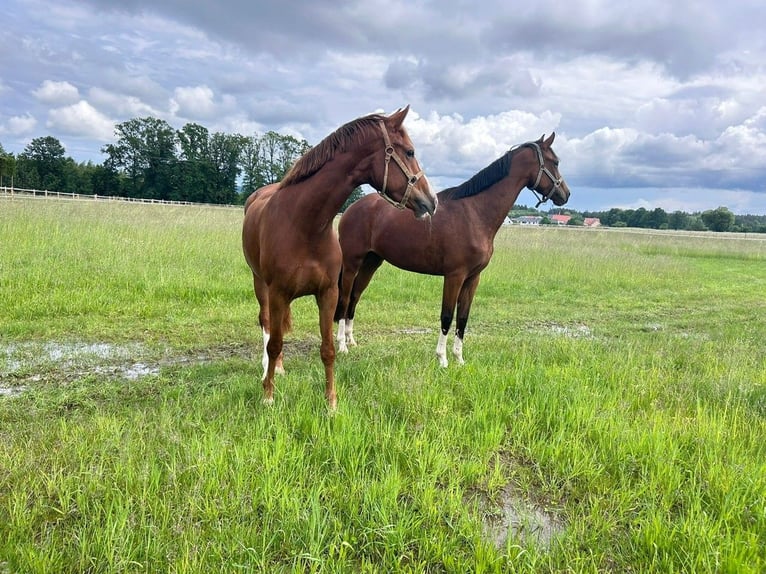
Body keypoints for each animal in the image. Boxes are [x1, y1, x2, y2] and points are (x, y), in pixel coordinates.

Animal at [242, 106, 437, 409]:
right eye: (409, 152)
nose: (432, 201)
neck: (304, 224)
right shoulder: (278, 292)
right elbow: (274, 343)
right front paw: (268, 396)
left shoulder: (328, 293)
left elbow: (328, 349)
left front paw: (331, 402)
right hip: (260, 284)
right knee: (266, 325)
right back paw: (267, 370)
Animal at [334, 133, 569, 367]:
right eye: (555, 162)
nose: (565, 194)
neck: (474, 213)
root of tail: (352, 208)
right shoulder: (454, 276)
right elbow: (446, 316)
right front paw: (442, 359)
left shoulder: (473, 278)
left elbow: (463, 318)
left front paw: (459, 359)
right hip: (352, 263)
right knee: (345, 297)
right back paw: (342, 345)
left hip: (371, 262)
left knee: (355, 296)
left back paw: (351, 340)